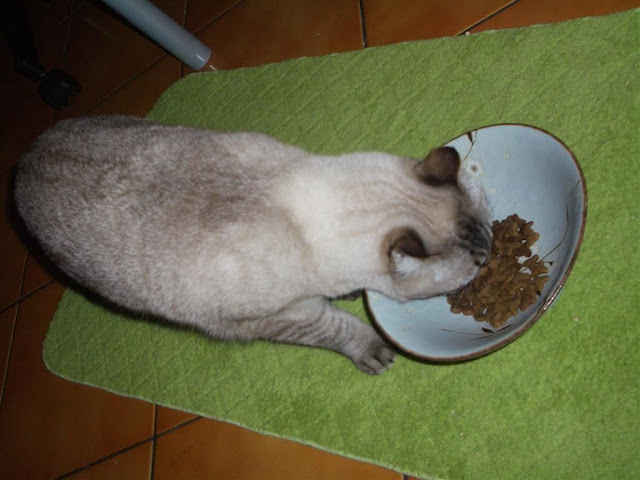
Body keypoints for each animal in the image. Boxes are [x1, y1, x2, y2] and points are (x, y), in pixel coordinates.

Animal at [14, 115, 491, 374]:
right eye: (474, 269)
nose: (490, 264)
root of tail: (25, 159)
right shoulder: (280, 318)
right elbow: (337, 328)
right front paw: (369, 346)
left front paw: (351, 293)